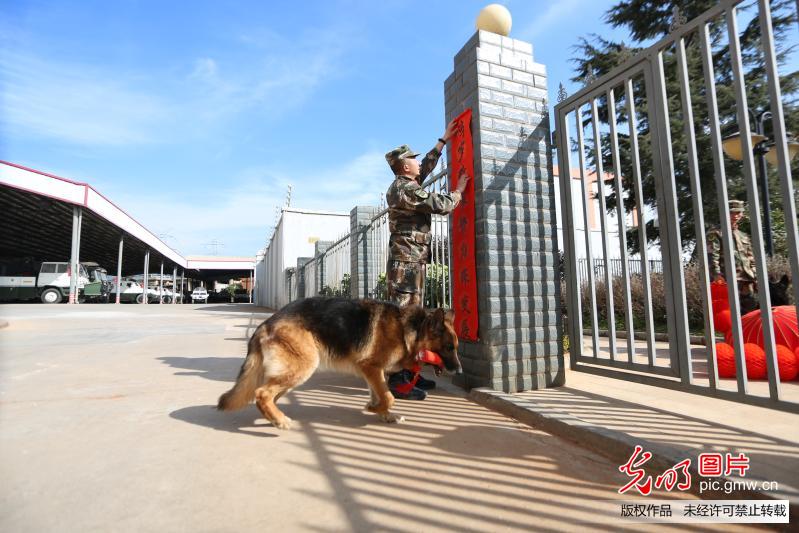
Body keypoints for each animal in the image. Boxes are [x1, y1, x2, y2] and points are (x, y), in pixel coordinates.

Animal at [217, 298, 462, 430]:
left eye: (456, 347)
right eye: (449, 347)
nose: (459, 371)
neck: (409, 330)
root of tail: (266, 324)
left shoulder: (373, 373)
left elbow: (380, 394)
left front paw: (384, 414)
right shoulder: (371, 367)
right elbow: (388, 396)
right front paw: (374, 409)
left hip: (292, 375)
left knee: (267, 395)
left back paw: (273, 418)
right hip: (303, 367)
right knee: (261, 393)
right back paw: (279, 420)